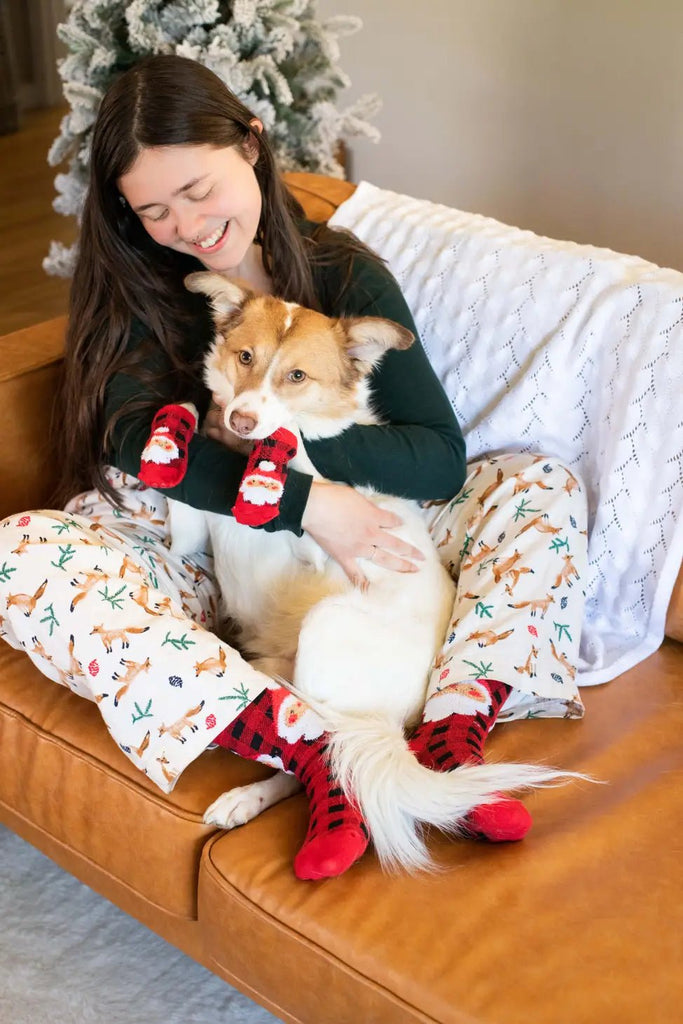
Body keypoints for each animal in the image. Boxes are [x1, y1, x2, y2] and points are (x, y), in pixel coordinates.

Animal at [167, 274, 573, 872]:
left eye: (297, 376)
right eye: (245, 357)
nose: (242, 420)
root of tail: (400, 720)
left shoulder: (331, 545)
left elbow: (305, 461)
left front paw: (284, 460)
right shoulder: (190, 536)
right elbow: (188, 434)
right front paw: (178, 428)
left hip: (326, 622)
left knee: (325, 744)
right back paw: (247, 799)